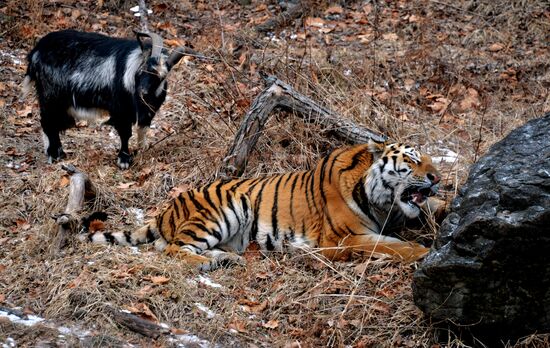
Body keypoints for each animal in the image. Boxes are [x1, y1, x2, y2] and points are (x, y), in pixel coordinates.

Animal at [22, 29, 185, 169]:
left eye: (161, 77)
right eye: (143, 69)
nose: (142, 92)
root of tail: (36, 51)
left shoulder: (147, 113)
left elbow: (142, 131)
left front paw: (141, 151)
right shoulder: (121, 111)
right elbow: (125, 134)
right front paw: (124, 160)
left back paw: (60, 153)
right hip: (50, 96)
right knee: (47, 122)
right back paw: (53, 155)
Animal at [87, 140, 448, 270]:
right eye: (412, 160)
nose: (437, 177)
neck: (382, 203)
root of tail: (168, 208)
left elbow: (430, 209)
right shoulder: (343, 240)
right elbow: (391, 246)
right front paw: (424, 253)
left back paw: (224, 259)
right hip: (224, 208)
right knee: (172, 249)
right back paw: (209, 263)